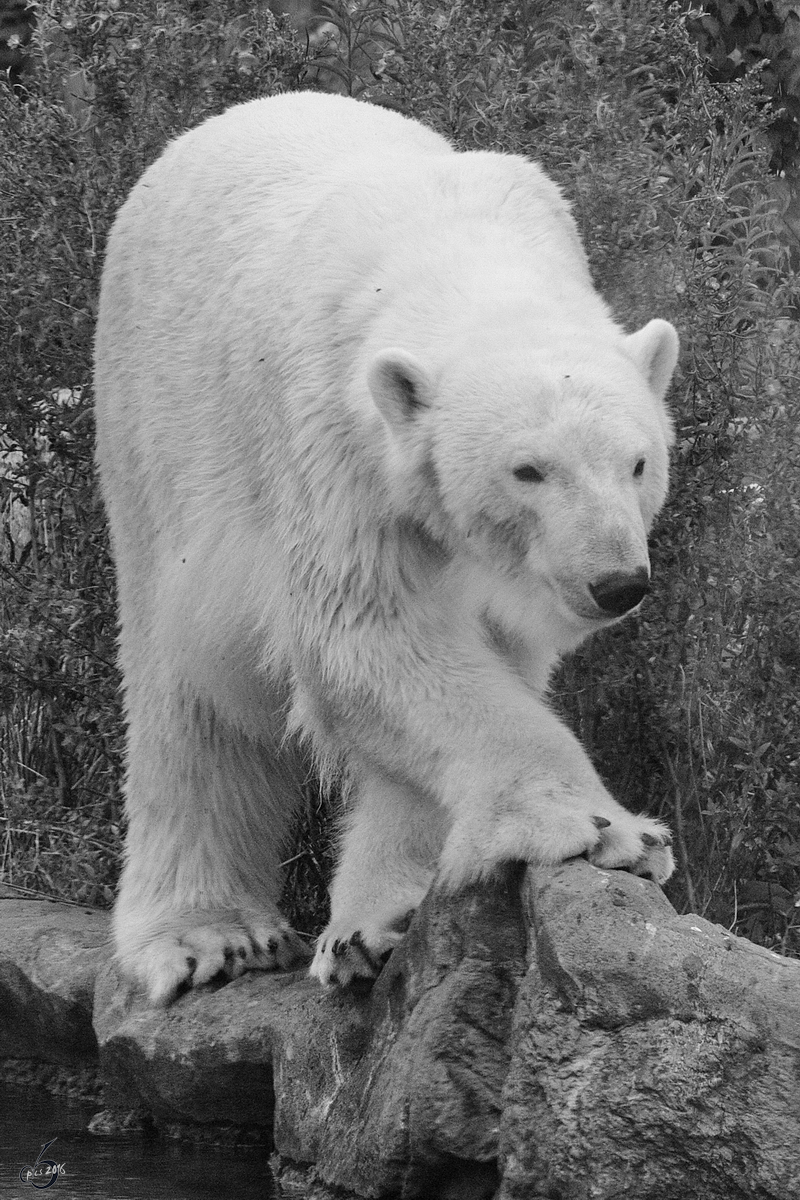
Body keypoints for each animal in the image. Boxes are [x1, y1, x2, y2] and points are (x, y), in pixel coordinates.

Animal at [97, 88, 681, 1003]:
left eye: (639, 462)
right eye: (528, 470)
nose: (617, 582)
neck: (454, 248)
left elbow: (456, 670)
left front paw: (380, 922)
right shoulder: (336, 441)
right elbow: (365, 638)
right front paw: (607, 829)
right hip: (153, 437)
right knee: (185, 698)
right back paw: (205, 936)